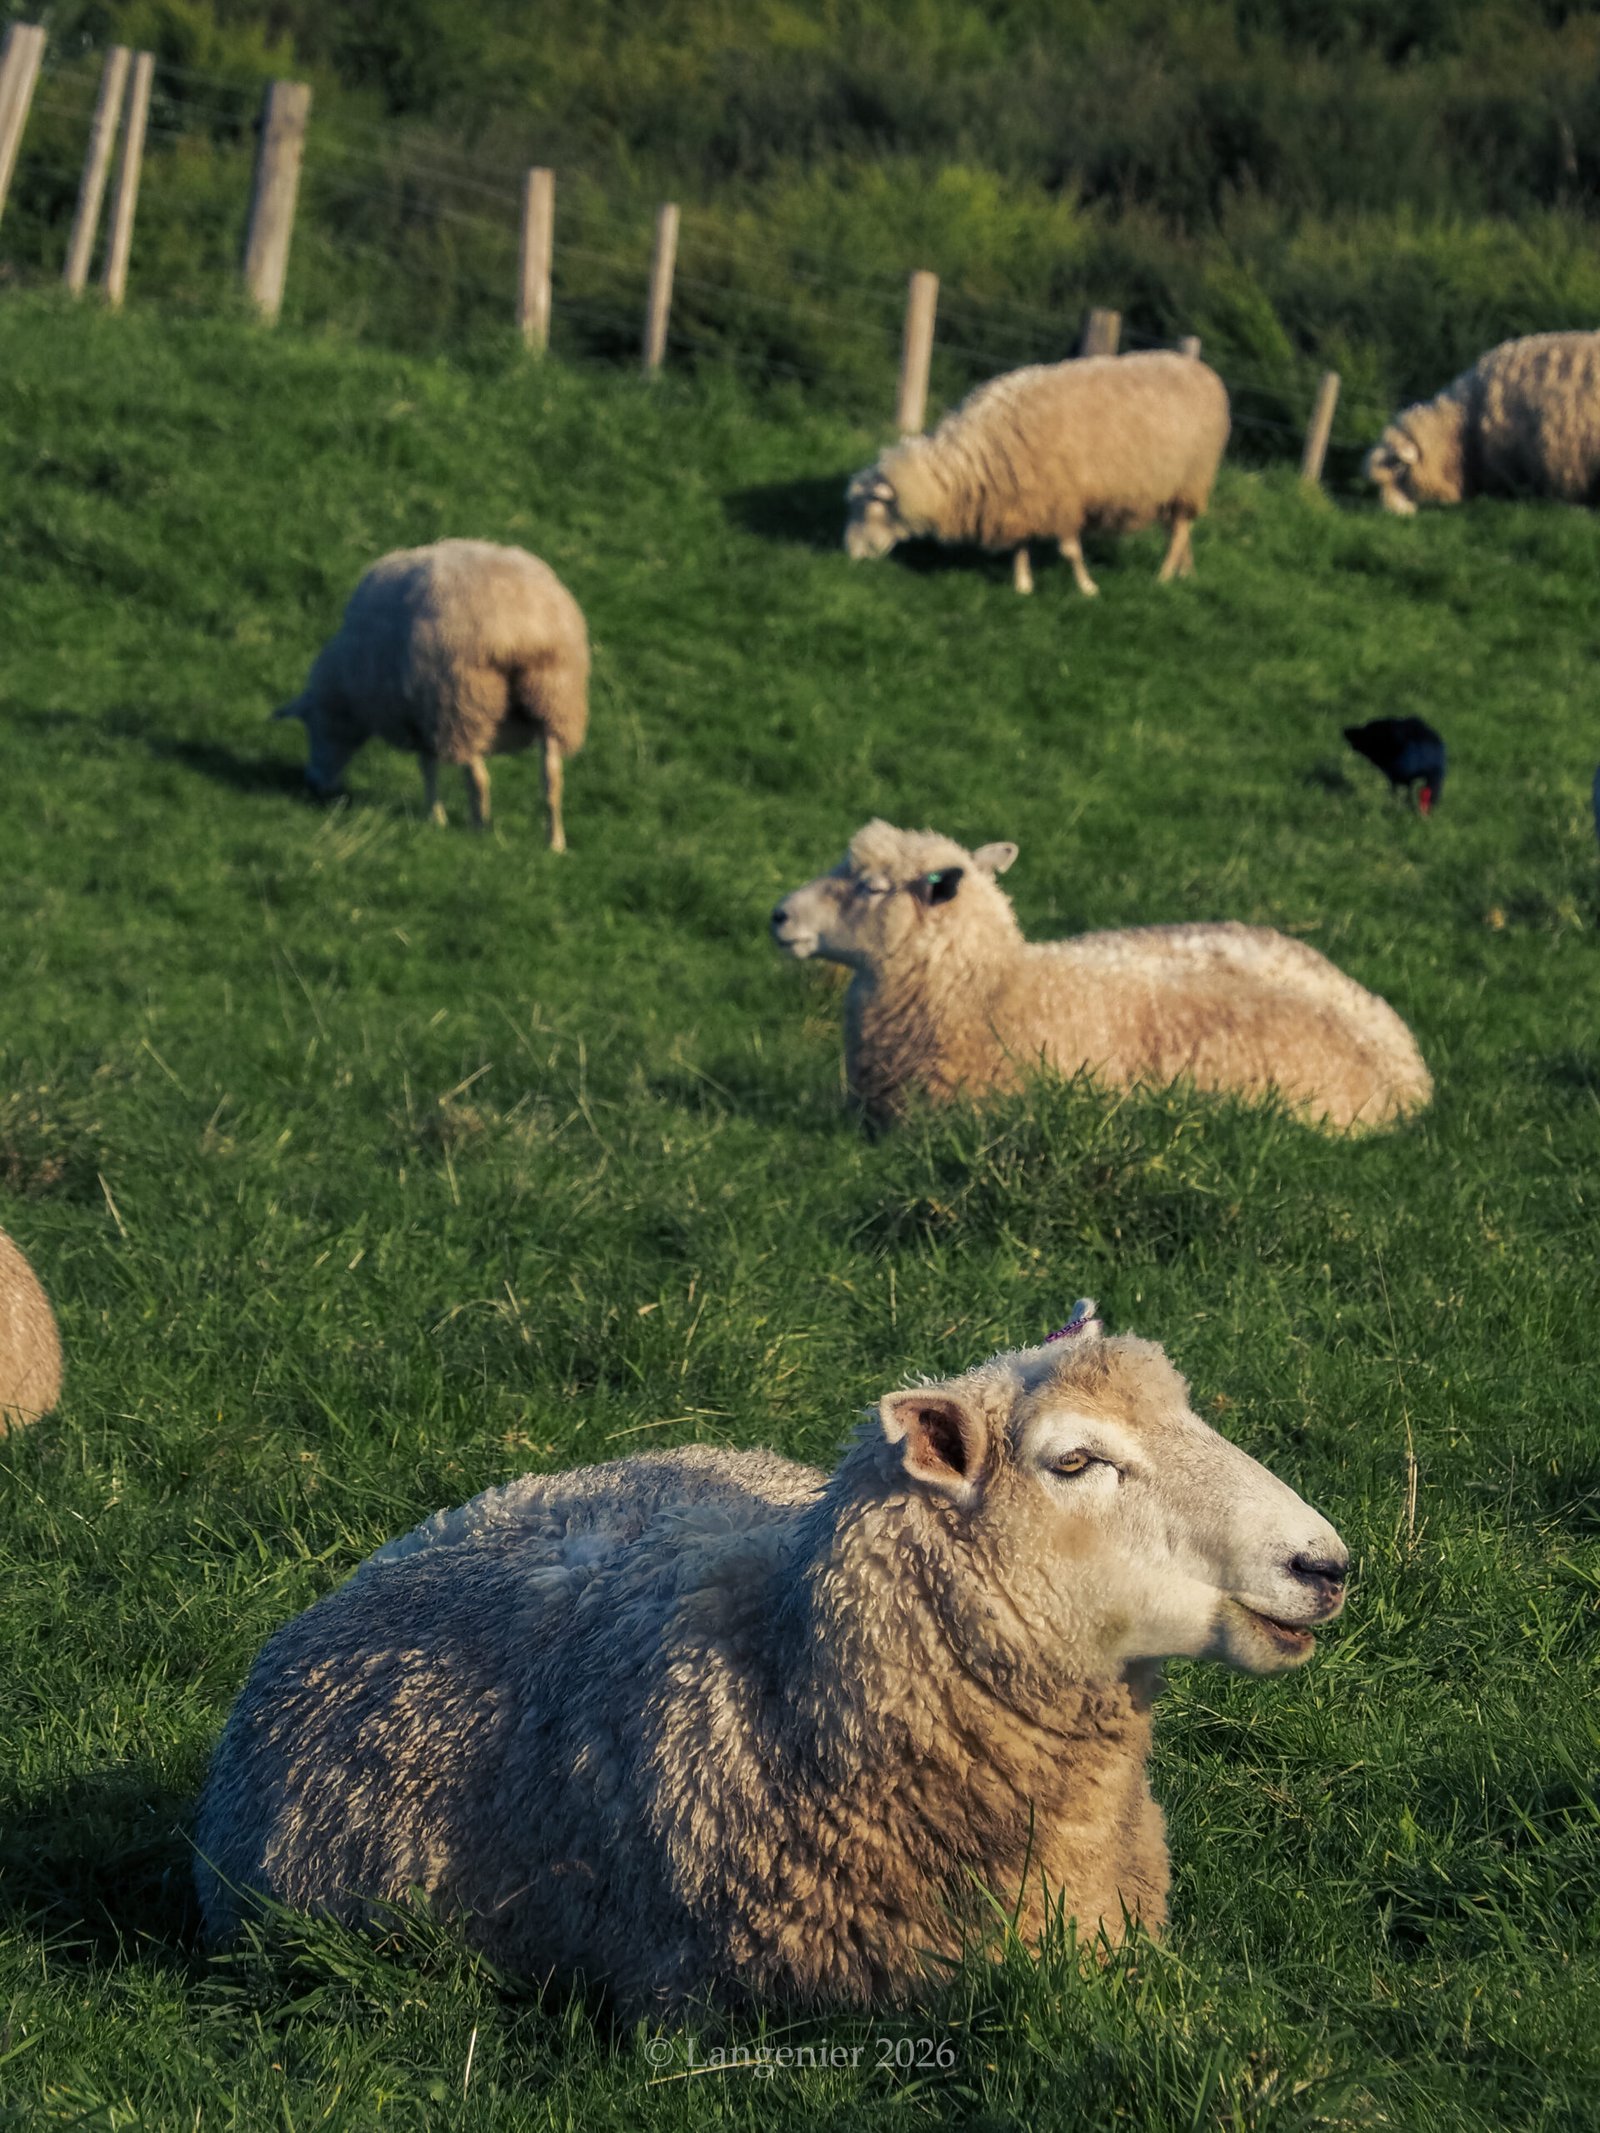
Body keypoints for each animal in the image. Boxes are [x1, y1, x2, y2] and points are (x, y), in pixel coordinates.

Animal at [275, 540, 590, 850]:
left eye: (312, 727)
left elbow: (427, 767)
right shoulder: (422, 717)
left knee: (479, 778)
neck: (348, 686)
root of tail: (520, 633)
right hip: (553, 697)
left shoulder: (415, 716)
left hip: (461, 701)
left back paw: (479, 831)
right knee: (552, 777)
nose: (314, 785)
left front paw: (433, 818)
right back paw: (555, 843)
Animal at [844, 351, 1231, 595]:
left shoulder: (1063, 497)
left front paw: (1087, 588)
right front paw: (1023, 586)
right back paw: (1185, 572)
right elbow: (1020, 545)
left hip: (1193, 478)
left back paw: (1163, 577)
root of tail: (1205, 371)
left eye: (871, 511)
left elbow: (1070, 551)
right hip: (1176, 486)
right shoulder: (1025, 497)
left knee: (1178, 532)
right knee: (1179, 530)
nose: (849, 555)